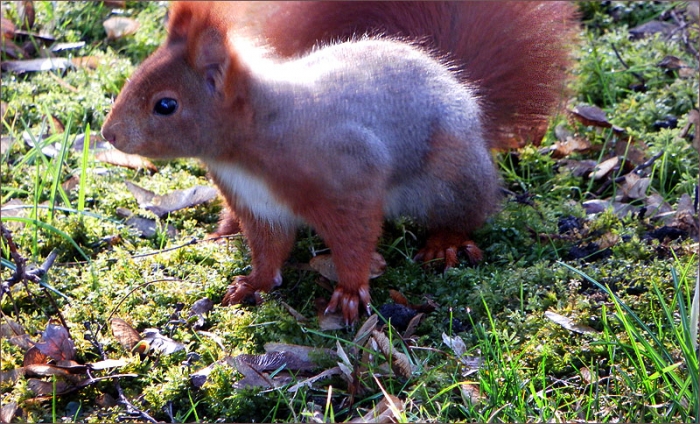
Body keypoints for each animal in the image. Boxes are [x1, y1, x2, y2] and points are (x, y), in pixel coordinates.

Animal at [101, 1, 577, 323]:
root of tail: (464, 91)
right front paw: (253, 283)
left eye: (166, 105)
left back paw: (446, 241)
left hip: (450, 177)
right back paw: (225, 228)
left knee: (472, 209)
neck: (251, 141)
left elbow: (354, 239)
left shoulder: (349, 177)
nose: (109, 135)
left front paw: (349, 291)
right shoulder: (257, 204)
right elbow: (269, 249)